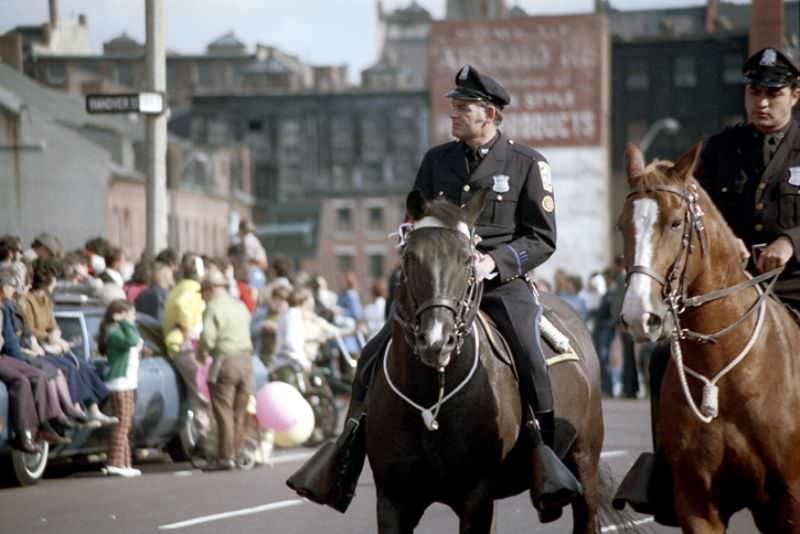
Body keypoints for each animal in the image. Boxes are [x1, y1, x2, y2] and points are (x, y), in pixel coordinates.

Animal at [364, 191, 632, 532]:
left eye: (467, 259)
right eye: (410, 256)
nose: (436, 340)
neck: (431, 395)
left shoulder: (476, 496)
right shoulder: (392, 500)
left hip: (584, 460)